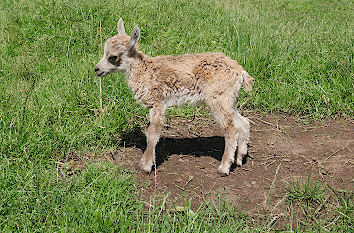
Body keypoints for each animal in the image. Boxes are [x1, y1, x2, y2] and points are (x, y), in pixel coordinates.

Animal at [94, 19, 254, 177]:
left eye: (113, 57)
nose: (97, 69)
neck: (143, 71)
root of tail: (240, 72)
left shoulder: (157, 102)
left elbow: (152, 132)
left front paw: (145, 166)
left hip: (218, 99)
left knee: (230, 128)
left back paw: (224, 168)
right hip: (228, 100)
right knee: (243, 123)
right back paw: (239, 158)